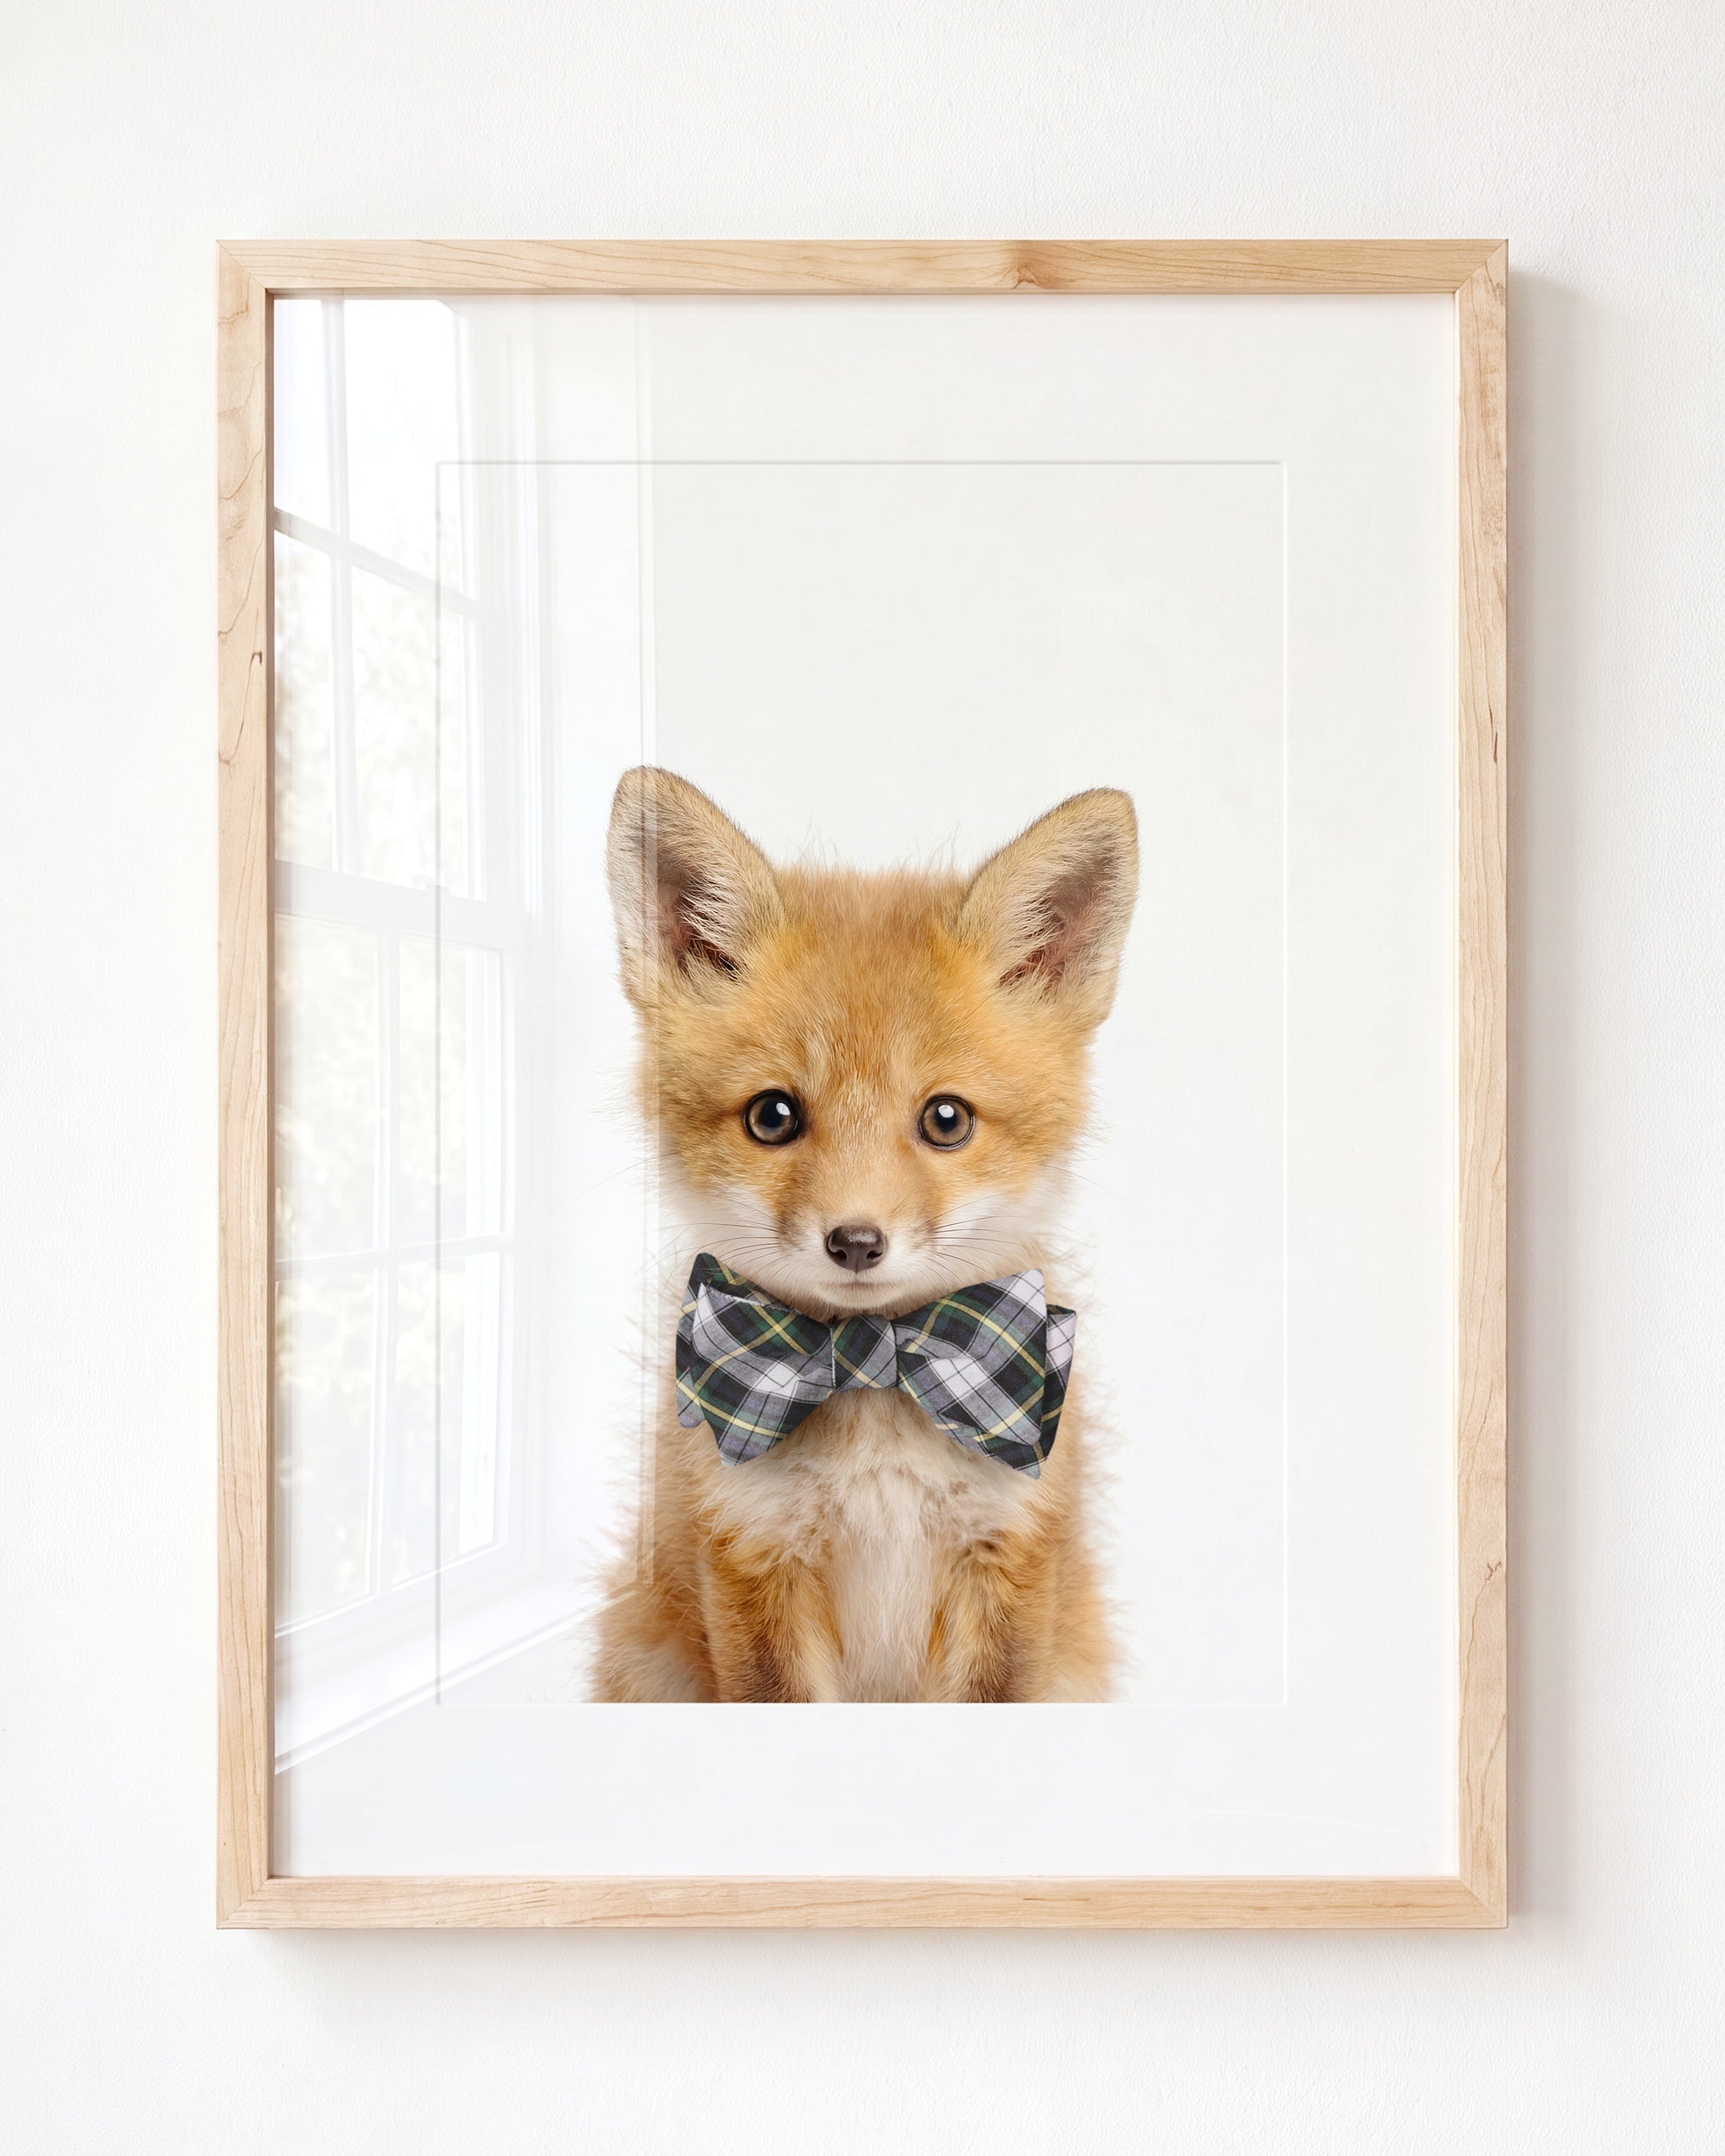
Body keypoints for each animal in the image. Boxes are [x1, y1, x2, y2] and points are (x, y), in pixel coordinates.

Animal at [590, 765, 1139, 1703]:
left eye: (946, 1120)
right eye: (772, 1116)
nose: (855, 1242)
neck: (875, 1370)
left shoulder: (1009, 1557)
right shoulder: (752, 1556)